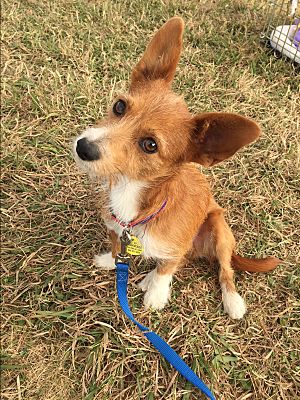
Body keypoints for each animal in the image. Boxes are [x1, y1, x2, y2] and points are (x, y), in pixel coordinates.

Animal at [74, 17, 280, 320]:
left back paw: (231, 300)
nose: (84, 148)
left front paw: (156, 295)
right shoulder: (115, 228)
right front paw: (110, 262)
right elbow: (117, 248)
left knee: (223, 269)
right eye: (120, 106)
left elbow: (167, 267)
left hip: (219, 229)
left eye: (150, 145)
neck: (132, 192)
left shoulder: (176, 247)